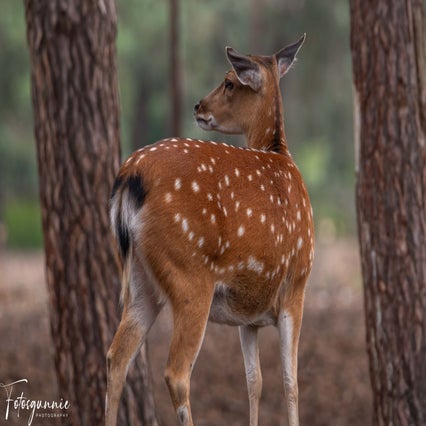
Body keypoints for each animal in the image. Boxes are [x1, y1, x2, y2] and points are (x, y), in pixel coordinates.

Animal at [105, 34, 312, 426]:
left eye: (229, 82)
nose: (198, 106)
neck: (281, 153)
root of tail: (129, 177)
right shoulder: (297, 281)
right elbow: (291, 381)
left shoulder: (250, 310)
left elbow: (255, 381)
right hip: (189, 275)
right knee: (176, 372)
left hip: (139, 279)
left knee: (116, 356)